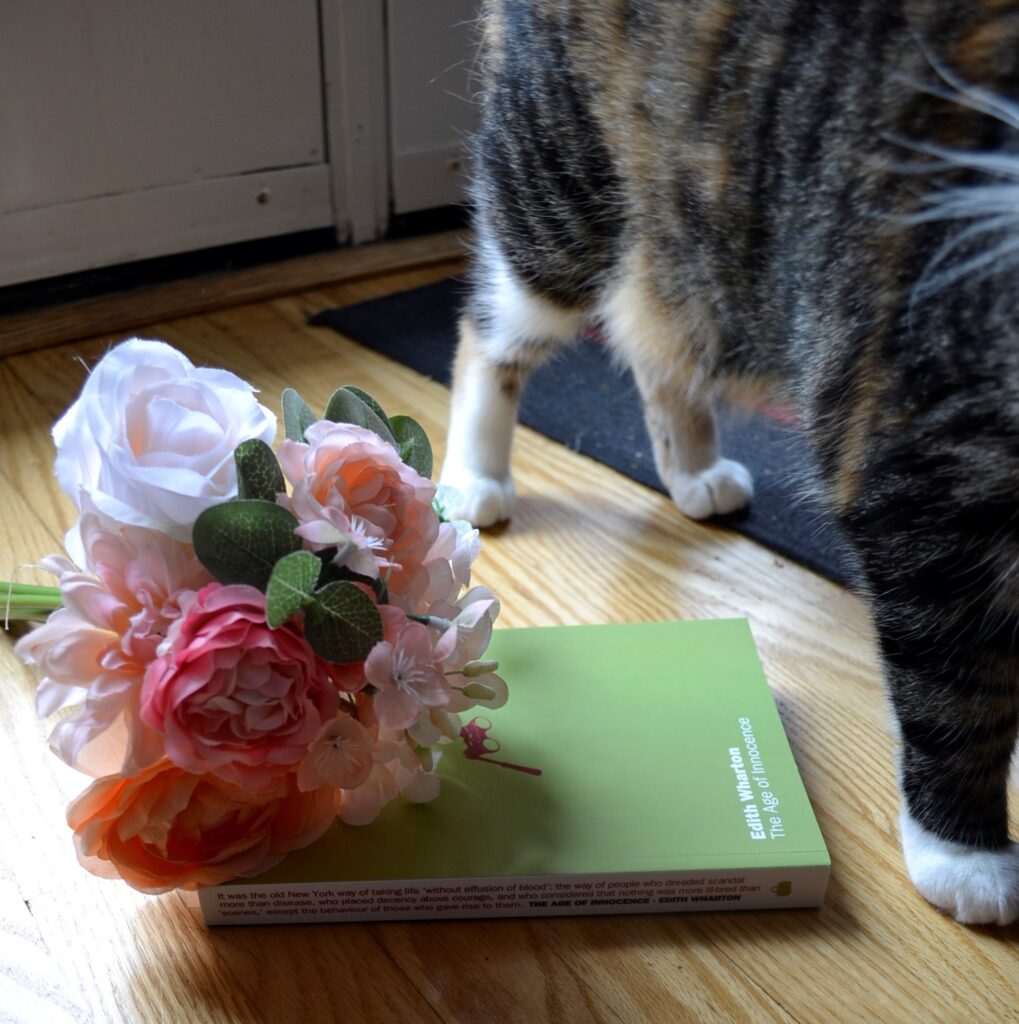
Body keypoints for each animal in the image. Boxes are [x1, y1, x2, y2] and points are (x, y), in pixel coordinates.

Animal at [442, 0, 1019, 925]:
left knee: (653, 329)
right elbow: (955, 686)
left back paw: (692, 472)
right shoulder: (911, 458)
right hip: (563, 180)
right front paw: (964, 855)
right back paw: (474, 480)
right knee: (493, 330)